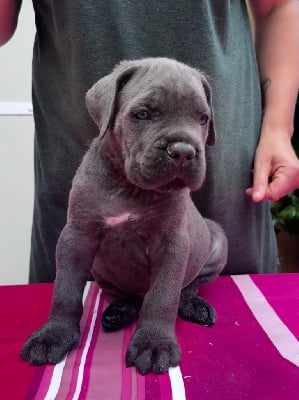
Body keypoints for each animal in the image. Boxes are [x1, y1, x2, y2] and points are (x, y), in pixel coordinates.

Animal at [22, 58, 229, 376]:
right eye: (142, 114)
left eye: (203, 118)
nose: (183, 151)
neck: (129, 187)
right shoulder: (76, 237)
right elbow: (65, 290)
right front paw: (53, 335)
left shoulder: (172, 244)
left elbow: (163, 295)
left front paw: (154, 344)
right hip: (101, 271)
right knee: (128, 294)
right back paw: (119, 311)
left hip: (216, 240)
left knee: (187, 286)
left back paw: (194, 305)